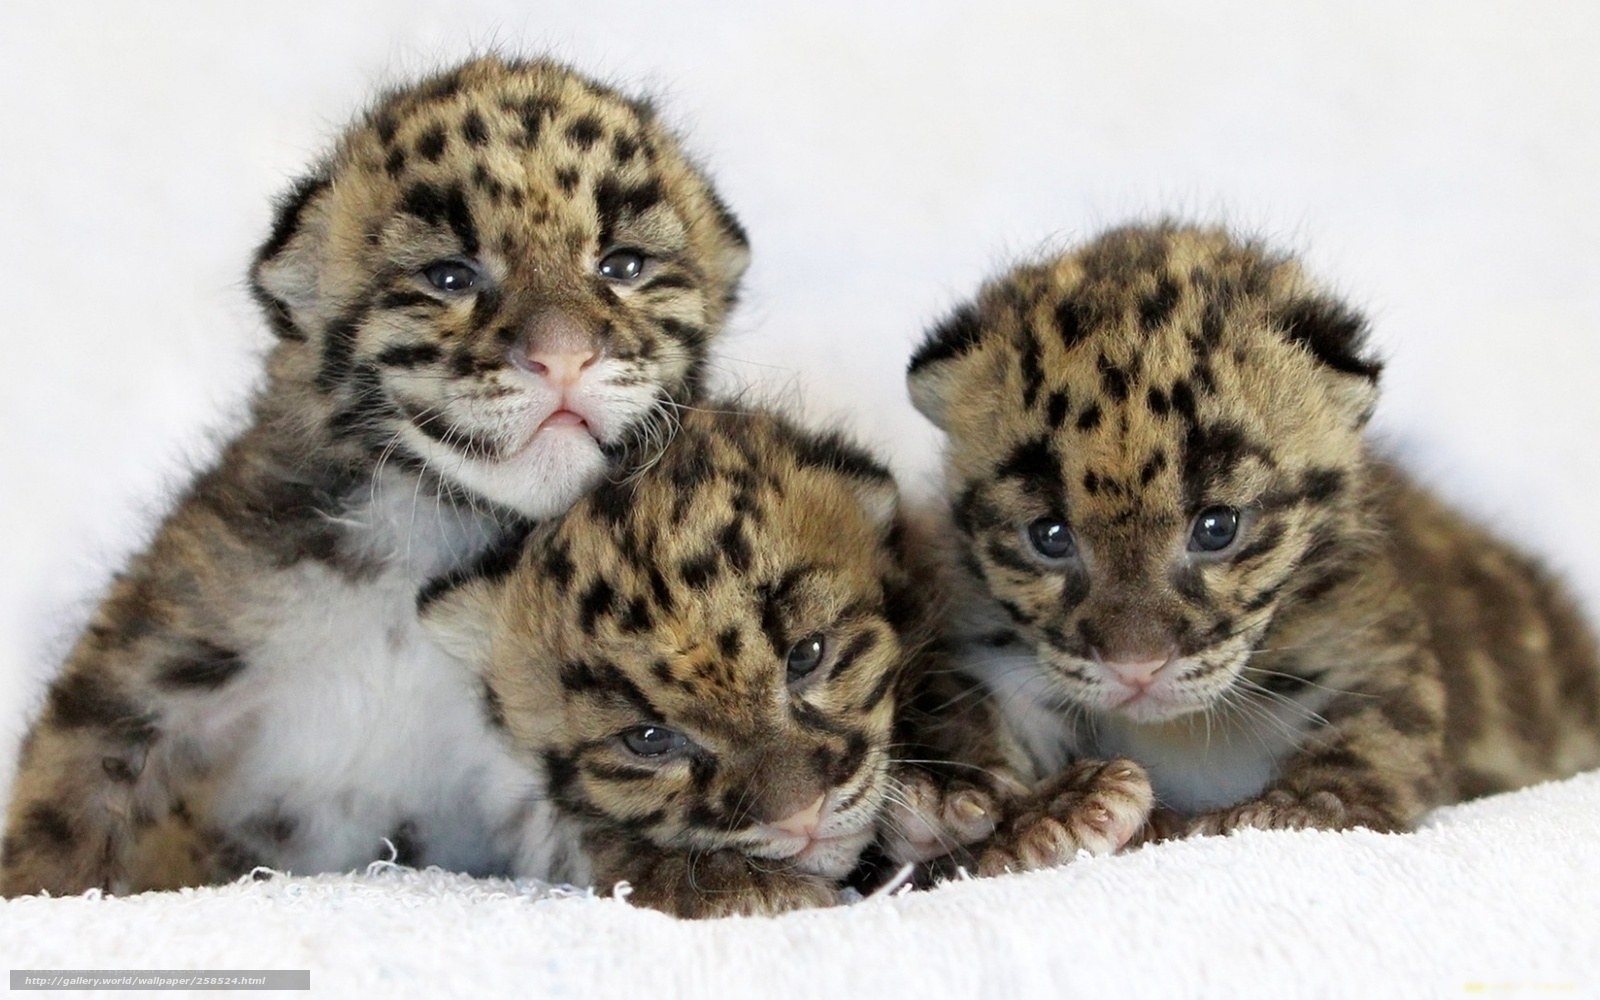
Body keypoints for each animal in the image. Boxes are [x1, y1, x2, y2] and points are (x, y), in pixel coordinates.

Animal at [0, 54, 750, 896]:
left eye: (623, 266)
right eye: (450, 277)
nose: (562, 354)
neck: (431, 531)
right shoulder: (152, 658)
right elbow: (66, 799)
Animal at [906, 221, 1600, 843]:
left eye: (1217, 528)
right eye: (1049, 536)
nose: (1137, 668)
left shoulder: (1365, 634)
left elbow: (1381, 726)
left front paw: (1301, 806)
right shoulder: (992, 654)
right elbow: (978, 723)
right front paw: (1032, 811)